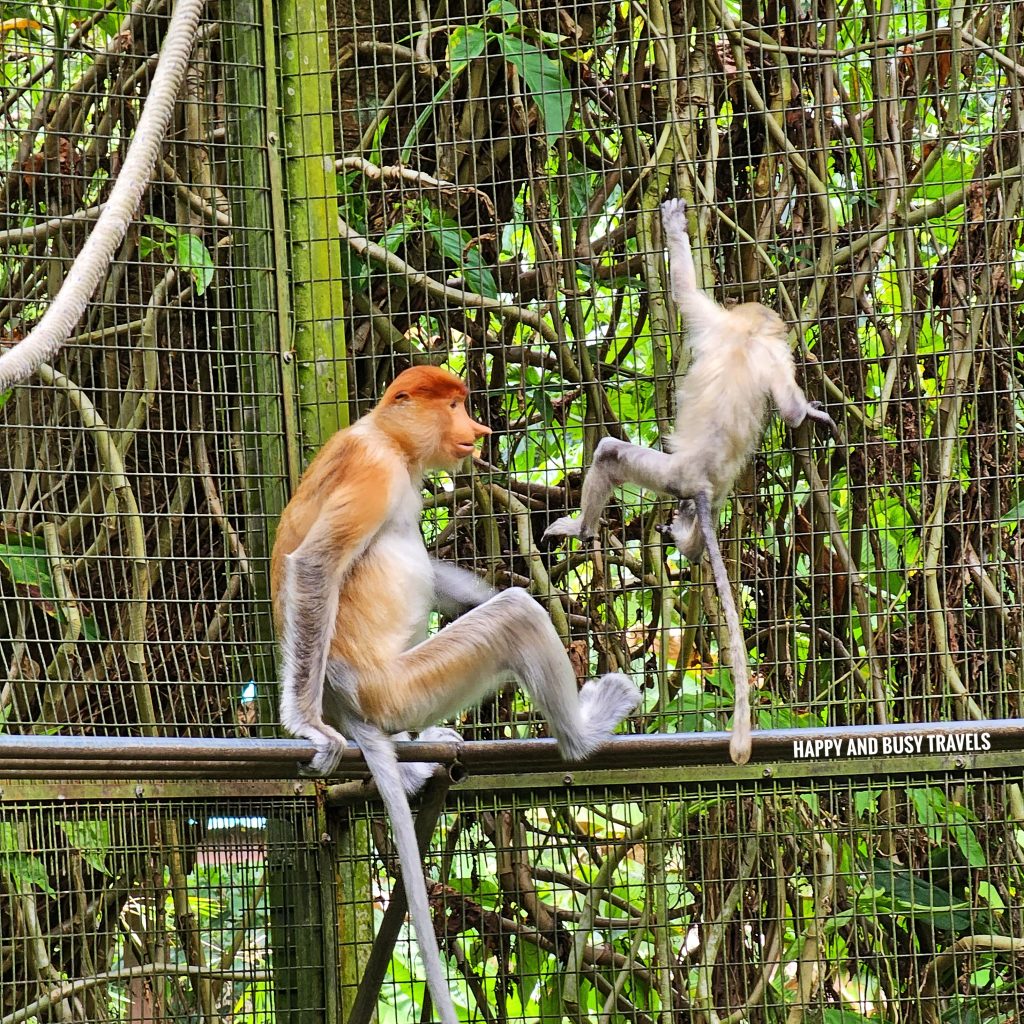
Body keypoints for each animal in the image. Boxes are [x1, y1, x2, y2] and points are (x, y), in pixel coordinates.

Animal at [548, 197, 835, 770]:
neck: (746, 336)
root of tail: (699, 481)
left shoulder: (723, 324)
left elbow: (683, 292)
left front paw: (673, 225)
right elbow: (791, 412)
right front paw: (814, 416)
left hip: (666, 470)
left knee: (609, 454)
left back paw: (583, 528)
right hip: (715, 488)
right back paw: (690, 541)